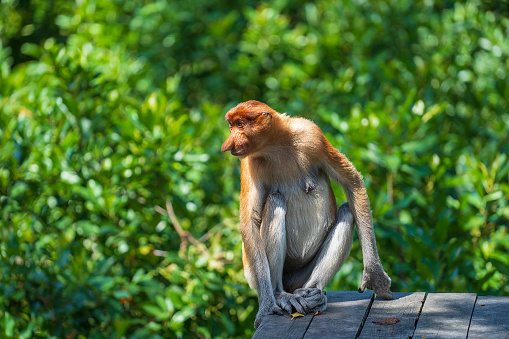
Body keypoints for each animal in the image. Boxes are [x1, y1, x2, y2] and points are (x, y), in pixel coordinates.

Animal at [220, 99, 390, 328]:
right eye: (231, 126)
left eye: (239, 124)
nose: (227, 145)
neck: (275, 146)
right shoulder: (249, 162)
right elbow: (250, 221)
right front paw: (266, 307)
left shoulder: (312, 134)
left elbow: (351, 182)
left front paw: (374, 275)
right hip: (252, 273)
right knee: (275, 201)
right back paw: (280, 295)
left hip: (301, 275)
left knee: (347, 211)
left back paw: (312, 293)